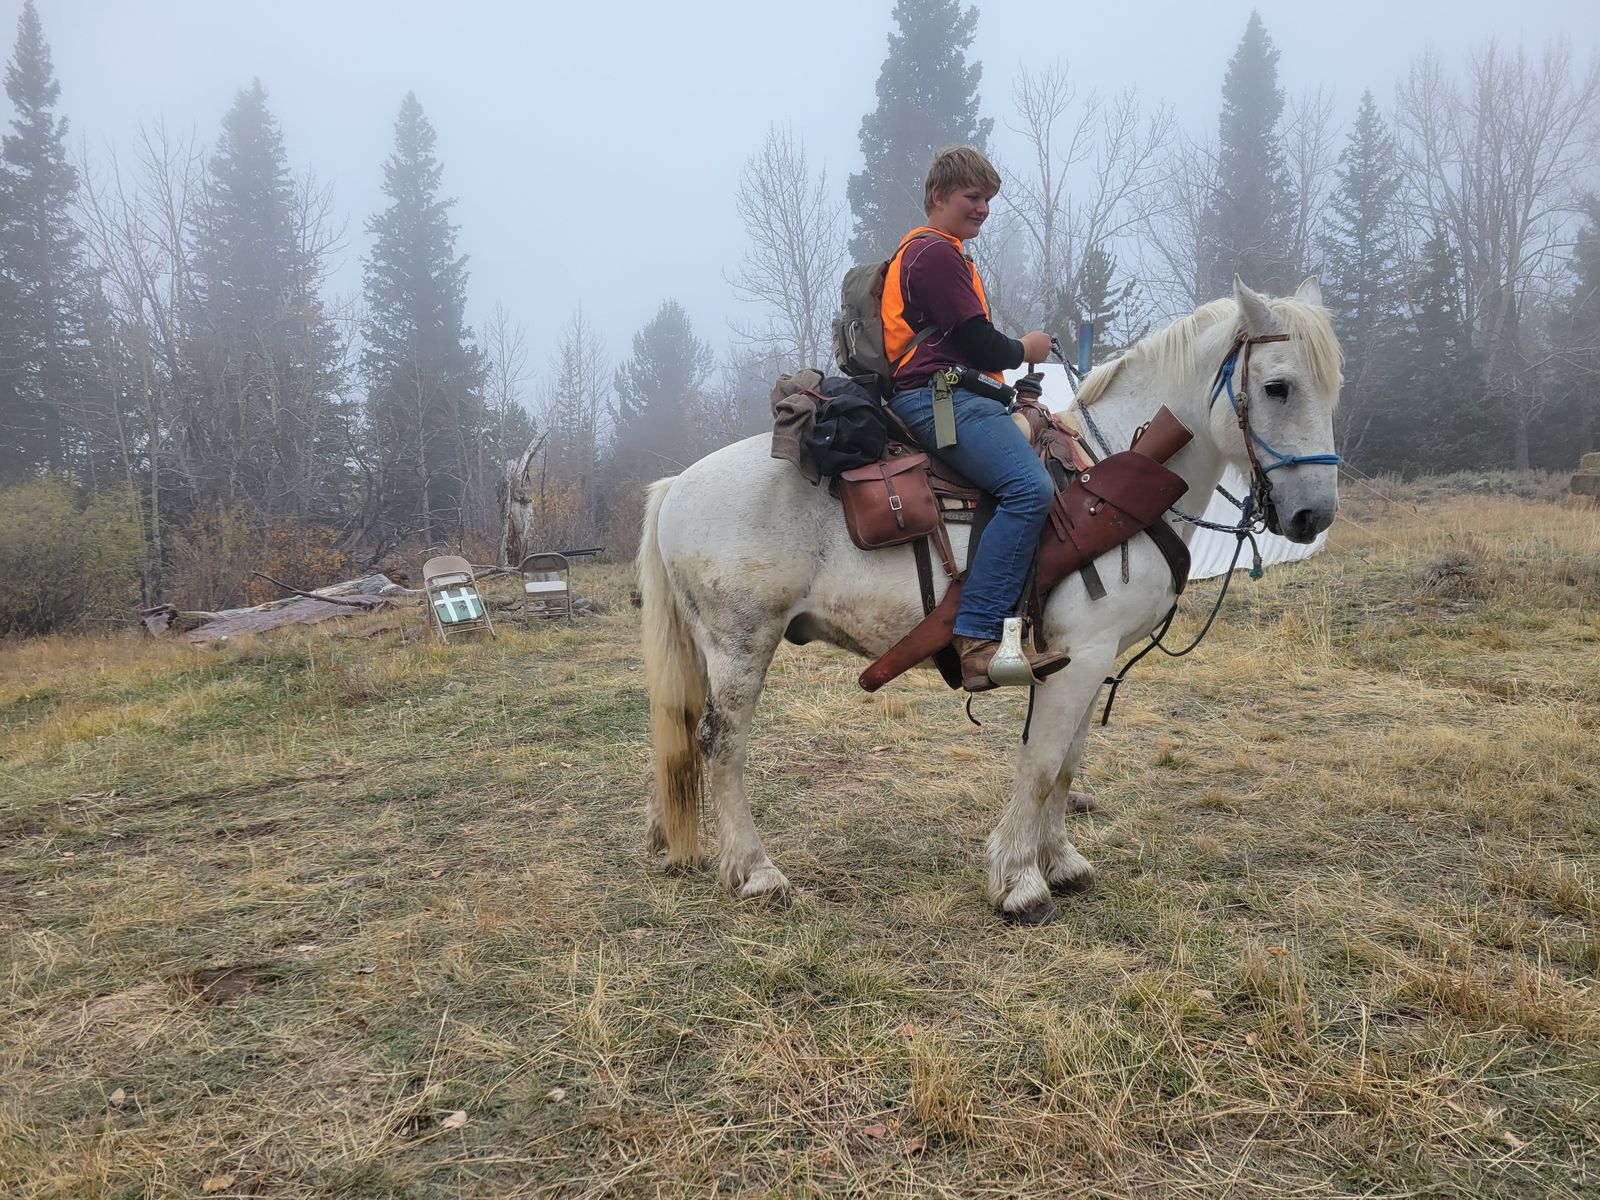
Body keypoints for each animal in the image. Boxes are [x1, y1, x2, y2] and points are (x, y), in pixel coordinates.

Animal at [636, 277, 1341, 923]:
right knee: (722, 743)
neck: (1114, 469)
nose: (1313, 515)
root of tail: (678, 484)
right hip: (741, 644)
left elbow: (1066, 764)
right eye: (1278, 387)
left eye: (1332, 387)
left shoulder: (1088, 660)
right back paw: (756, 871)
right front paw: (1020, 881)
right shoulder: (1079, 655)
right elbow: (1043, 764)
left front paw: (1061, 863)